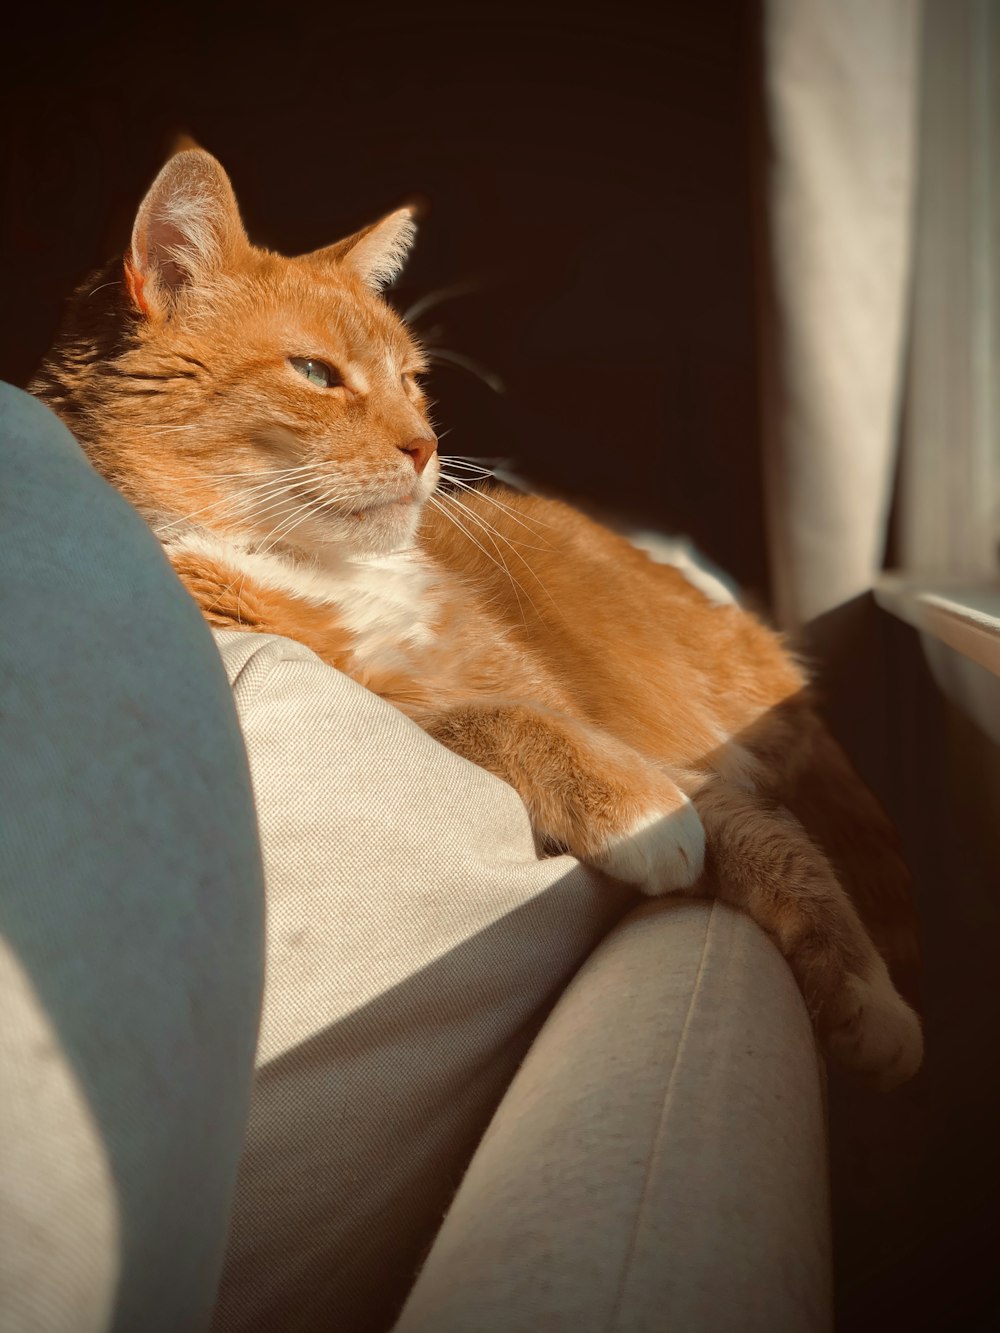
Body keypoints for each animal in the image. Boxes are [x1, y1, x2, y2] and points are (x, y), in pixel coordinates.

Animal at [31, 145, 922, 1087]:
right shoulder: (416, 710)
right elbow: (503, 722)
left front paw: (869, 996)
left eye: (411, 380)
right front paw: (640, 811)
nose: (425, 446)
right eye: (314, 374)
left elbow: (767, 838)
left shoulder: (633, 734)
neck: (324, 572)